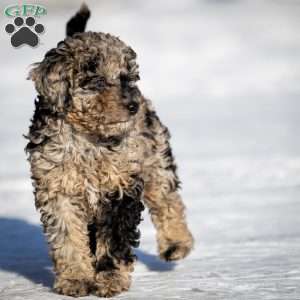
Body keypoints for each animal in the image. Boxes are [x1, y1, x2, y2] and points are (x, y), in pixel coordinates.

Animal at [25, 4, 195, 298]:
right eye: (96, 81)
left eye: (128, 78)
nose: (132, 106)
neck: (89, 139)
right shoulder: (57, 189)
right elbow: (68, 237)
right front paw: (75, 279)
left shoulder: (121, 188)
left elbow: (114, 242)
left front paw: (110, 279)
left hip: (154, 154)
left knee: (166, 197)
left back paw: (176, 244)